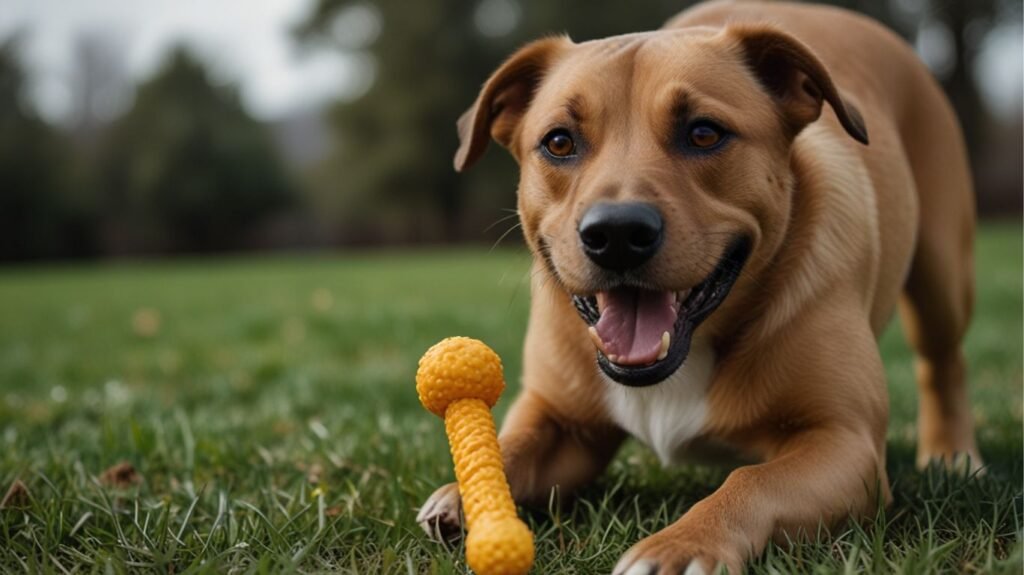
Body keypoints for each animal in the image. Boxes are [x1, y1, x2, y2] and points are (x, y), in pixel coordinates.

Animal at [417, 2, 983, 568]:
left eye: (704, 133)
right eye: (559, 142)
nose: (616, 234)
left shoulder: (846, 444)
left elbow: (752, 480)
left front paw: (682, 544)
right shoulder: (562, 423)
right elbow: (511, 448)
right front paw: (464, 495)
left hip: (942, 276)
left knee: (943, 363)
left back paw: (952, 456)